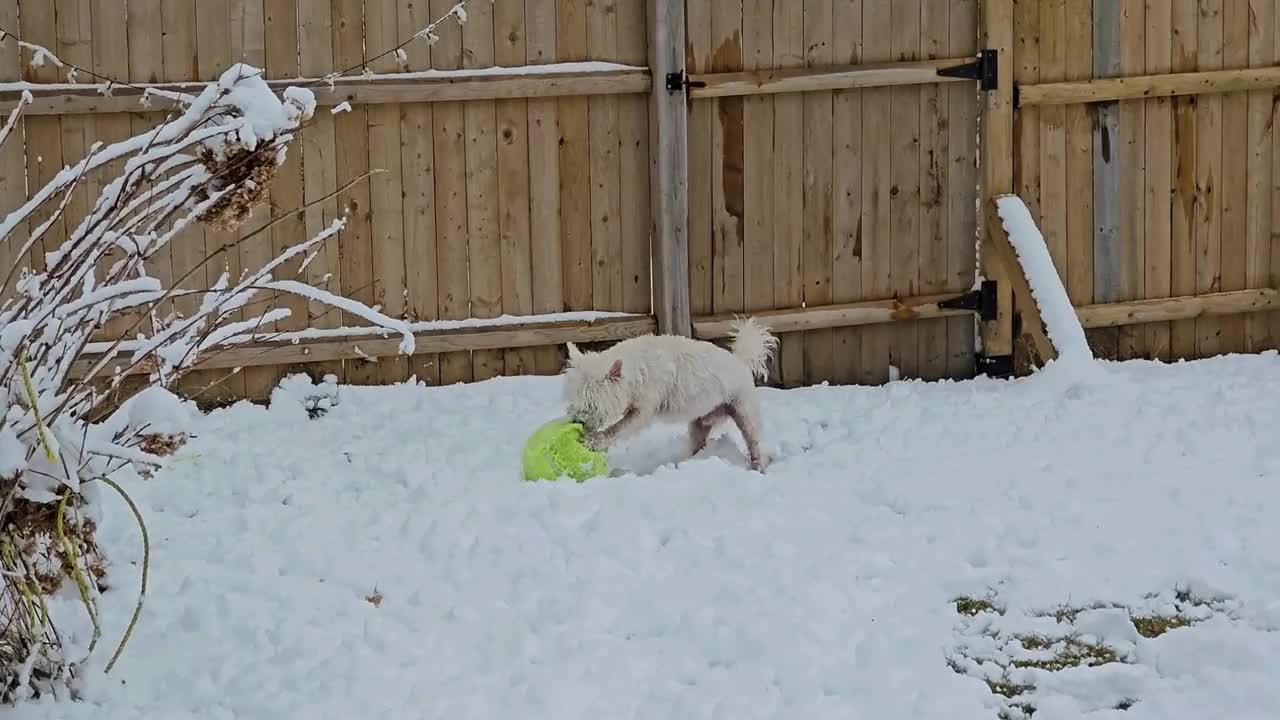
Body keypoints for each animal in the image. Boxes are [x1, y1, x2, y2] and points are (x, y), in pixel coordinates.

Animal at [563, 317, 778, 471]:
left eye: (593, 405)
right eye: (574, 400)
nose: (577, 422)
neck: (638, 368)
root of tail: (741, 361)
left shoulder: (643, 410)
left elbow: (618, 428)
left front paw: (594, 441)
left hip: (745, 412)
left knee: (754, 443)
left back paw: (758, 467)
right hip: (699, 424)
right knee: (699, 443)